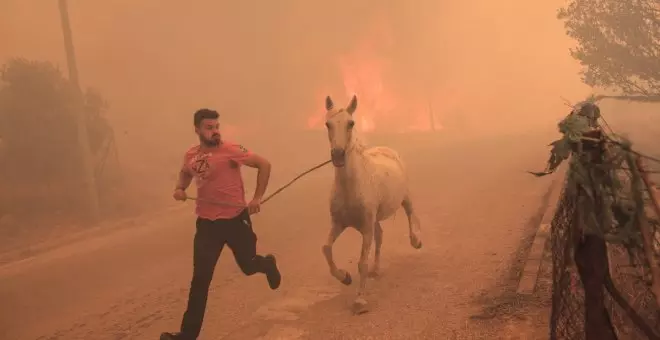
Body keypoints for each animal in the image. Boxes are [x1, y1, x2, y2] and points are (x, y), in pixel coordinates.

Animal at [320, 94, 422, 314]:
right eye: (327, 124)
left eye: (350, 123)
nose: (338, 154)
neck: (351, 186)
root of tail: (389, 150)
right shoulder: (338, 224)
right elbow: (326, 249)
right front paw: (344, 277)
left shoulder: (365, 227)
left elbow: (361, 263)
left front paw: (359, 301)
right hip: (375, 218)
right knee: (380, 235)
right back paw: (376, 269)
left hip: (405, 197)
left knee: (411, 213)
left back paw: (416, 240)